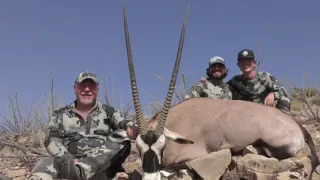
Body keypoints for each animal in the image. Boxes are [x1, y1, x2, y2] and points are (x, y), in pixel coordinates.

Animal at [121, 2, 318, 180]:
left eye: (162, 146)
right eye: (139, 148)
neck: (177, 120)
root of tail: (296, 125)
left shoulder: (195, 155)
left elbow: (172, 169)